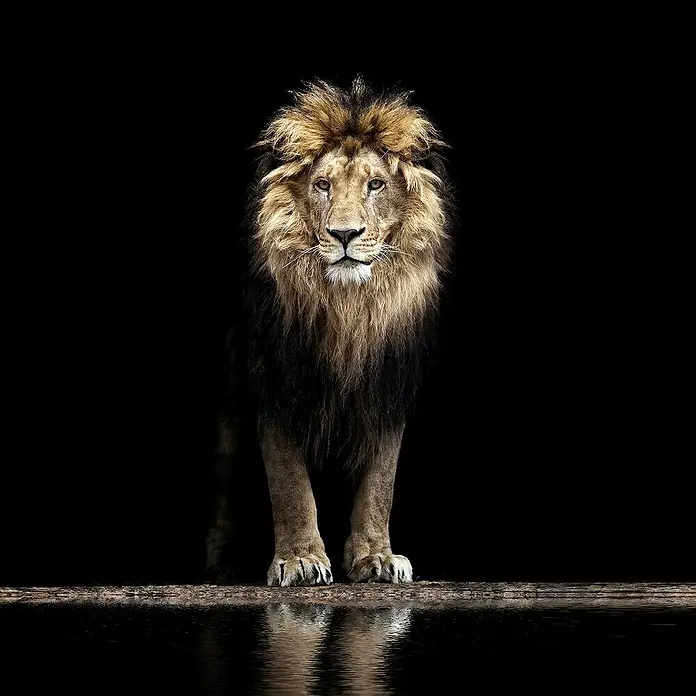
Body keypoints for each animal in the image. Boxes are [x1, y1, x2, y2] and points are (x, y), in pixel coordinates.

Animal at [206, 77, 454, 586]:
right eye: (322, 185)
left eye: (376, 185)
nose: (344, 234)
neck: (348, 310)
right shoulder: (276, 380)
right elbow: (289, 482)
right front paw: (300, 560)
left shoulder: (387, 385)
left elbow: (381, 482)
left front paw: (376, 557)